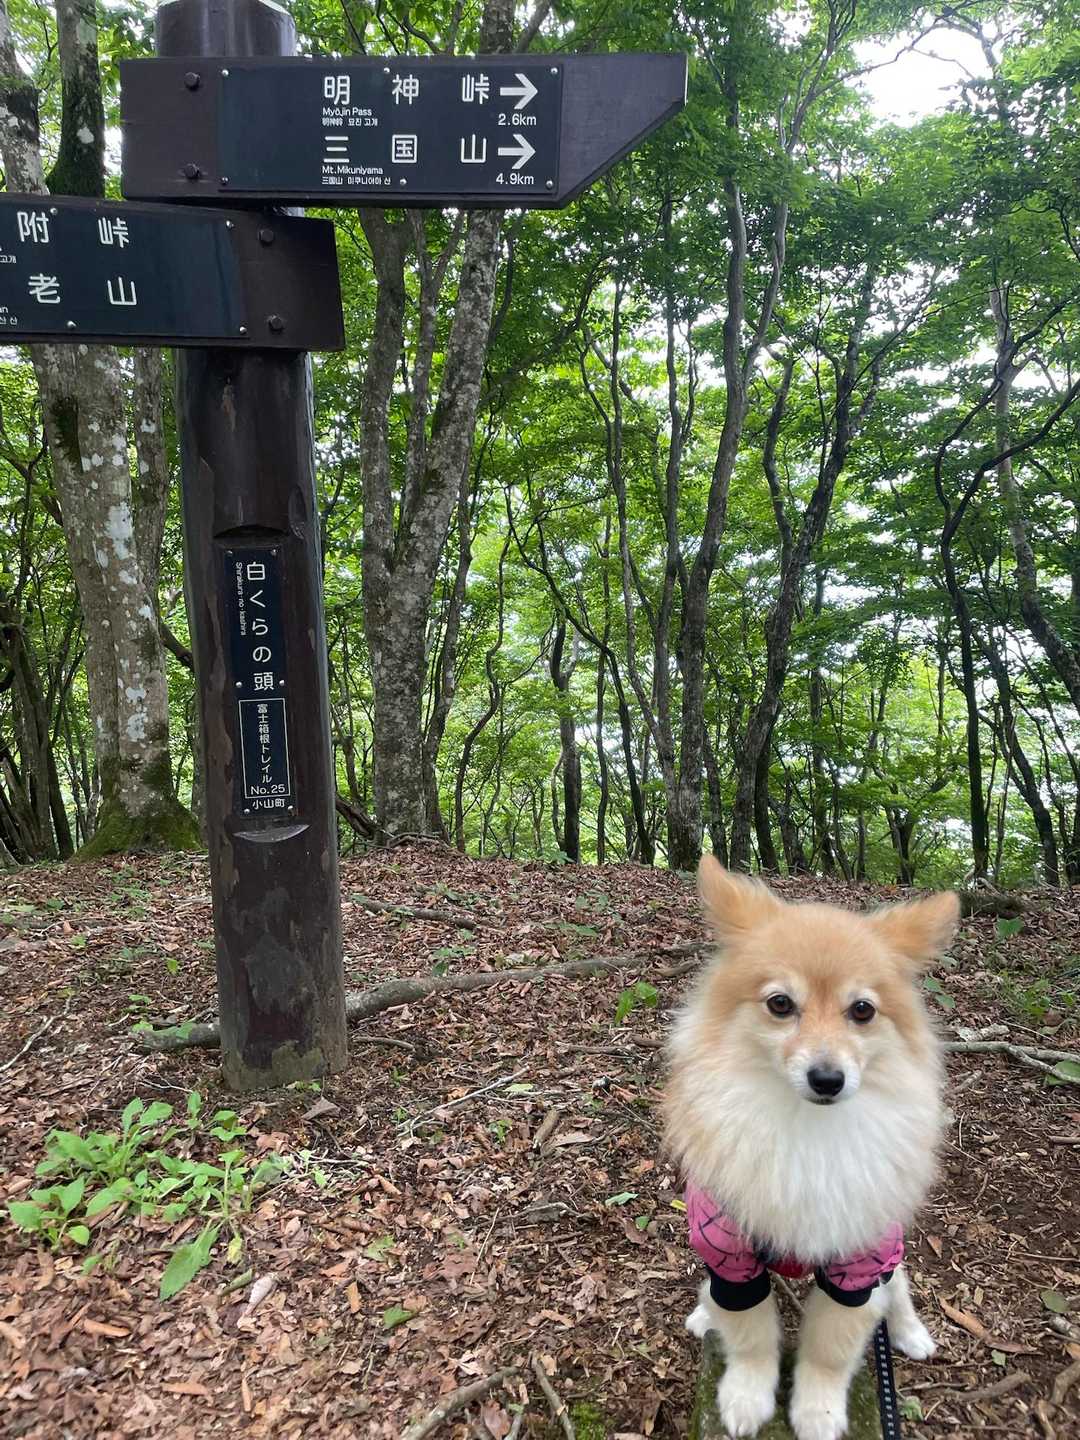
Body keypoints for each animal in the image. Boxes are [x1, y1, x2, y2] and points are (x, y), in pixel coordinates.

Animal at [663, 858, 958, 1440]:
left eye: (862, 1011)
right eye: (781, 1004)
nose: (827, 1078)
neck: (807, 1130)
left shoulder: (858, 1264)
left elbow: (831, 1348)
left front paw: (818, 1412)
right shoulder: (730, 1252)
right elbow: (750, 1333)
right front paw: (746, 1397)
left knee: (899, 1284)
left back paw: (909, 1330)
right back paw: (705, 1314)